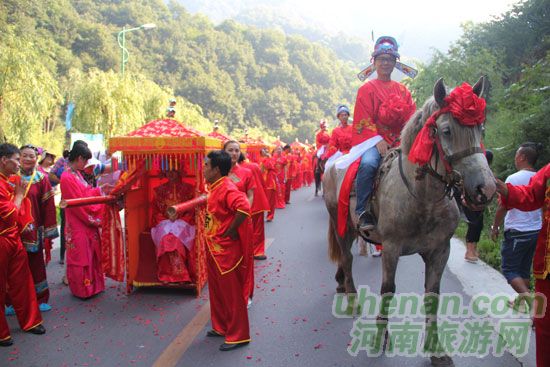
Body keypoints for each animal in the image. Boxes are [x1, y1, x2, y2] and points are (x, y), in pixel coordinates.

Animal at [326, 76, 498, 366]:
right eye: (446, 131)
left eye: (481, 128)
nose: (484, 188)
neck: (423, 200)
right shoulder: (391, 248)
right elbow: (387, 290)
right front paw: (379, 338)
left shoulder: (440, 250)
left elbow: (432, 295)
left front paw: (436, 349)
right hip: (342, 225)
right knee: (347, 259)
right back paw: (351, 298)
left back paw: (340, 284)